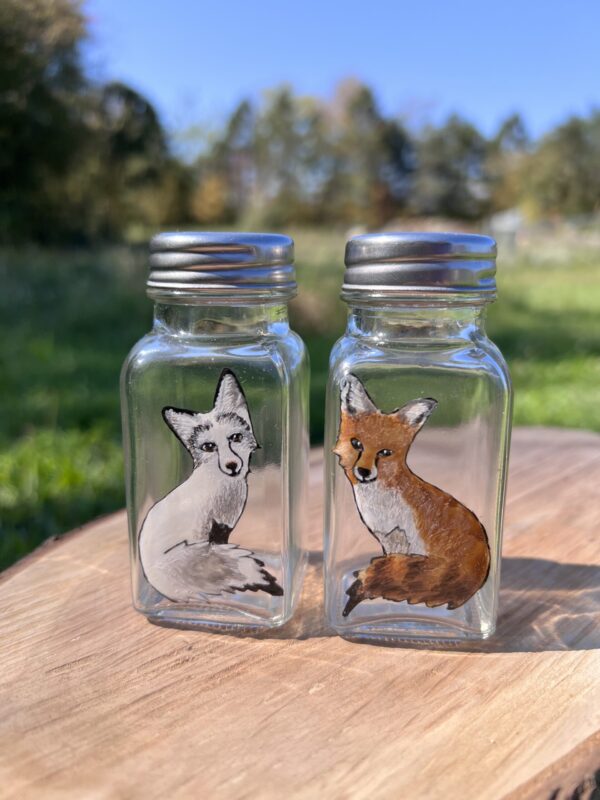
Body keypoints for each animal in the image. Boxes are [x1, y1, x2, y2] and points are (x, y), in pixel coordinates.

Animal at [334, 374, 490, 616]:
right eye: (356, 444)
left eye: (385, 452)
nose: (364, 472)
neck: (381, 503)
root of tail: (483, 561)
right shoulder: (388, 539)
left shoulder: (402, 540)